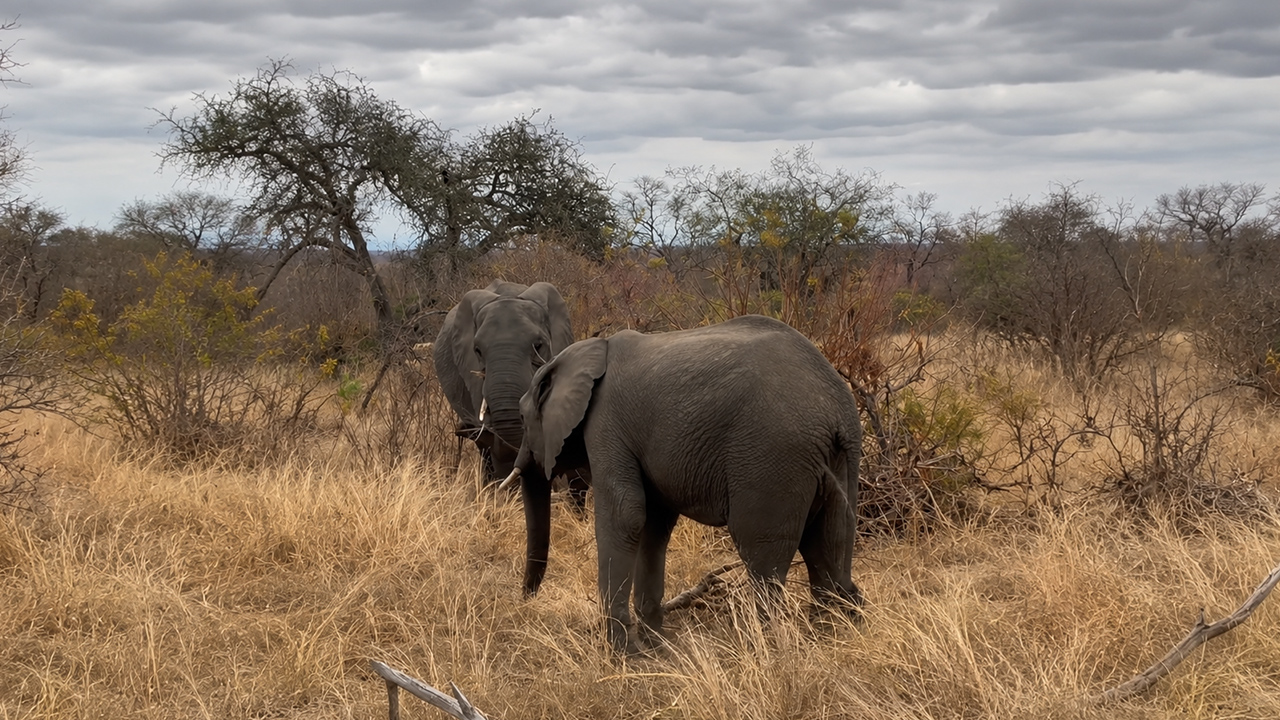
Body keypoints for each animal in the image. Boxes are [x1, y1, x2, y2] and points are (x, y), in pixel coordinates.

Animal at [502, 314, 864, 653]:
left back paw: (763, 646)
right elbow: (653, 525)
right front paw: (655, 646)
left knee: (763, 556)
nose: (526, 599)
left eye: (521, 418)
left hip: (772, 458)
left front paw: (625, 654)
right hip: (837, 460)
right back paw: (831, 633)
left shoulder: (606, 425)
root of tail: (837, 411)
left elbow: (625, 515)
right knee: (829, 543)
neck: (588, 352)